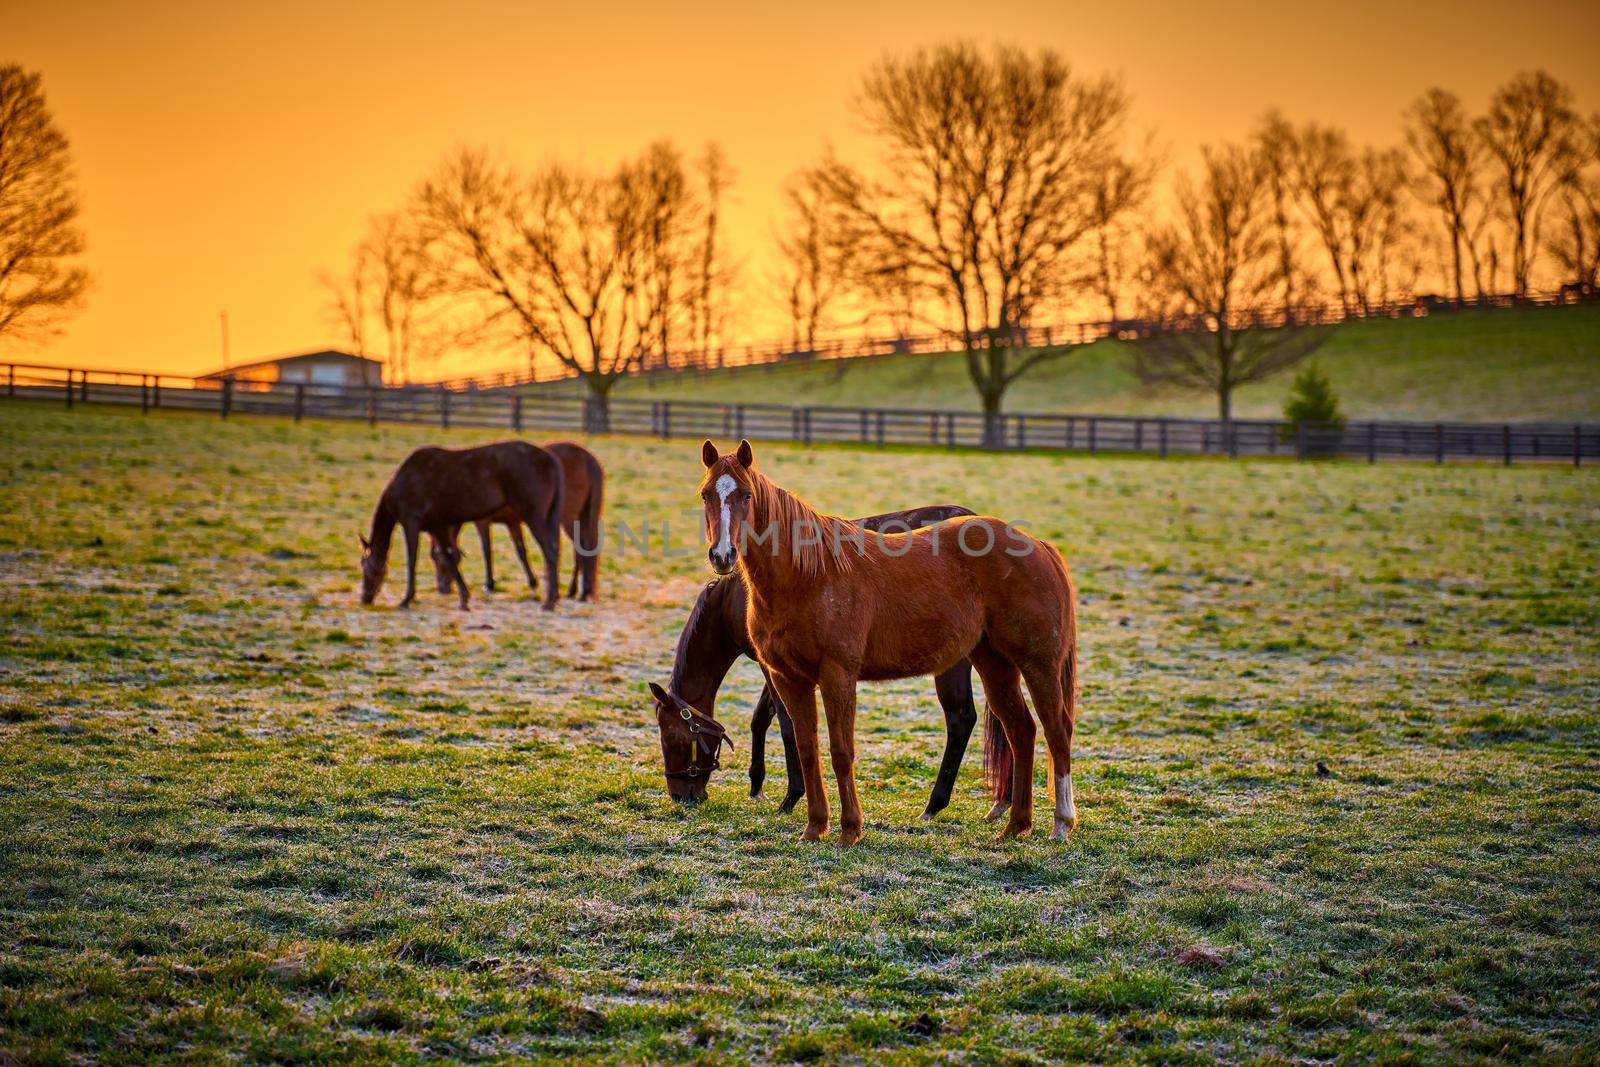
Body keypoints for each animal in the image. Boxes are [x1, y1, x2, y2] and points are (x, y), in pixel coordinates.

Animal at [360, 441, 566, 607]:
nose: (365, 598)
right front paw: (464, 596)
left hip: (533, 515)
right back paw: (553, 596)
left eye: (364, 566)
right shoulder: (438, 526)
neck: (402, 484)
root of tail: (550, 460)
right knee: (554, 549)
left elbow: (412, 561)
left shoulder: (411, 522)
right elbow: (450, 556)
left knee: (549, 550)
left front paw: (407, 598)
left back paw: (549, 601)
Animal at [432, 435, 604, 601]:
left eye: (436, 558)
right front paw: (533, 582)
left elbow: (487, 550)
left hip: (568, 519)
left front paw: (489, 584)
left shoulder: (482, 522)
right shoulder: (512, 523)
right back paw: (575, 591)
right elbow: (521, 550)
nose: (442, 589)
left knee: (582, 547)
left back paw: (581, 592)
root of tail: (586, 458)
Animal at [649, 505, 1011, 812]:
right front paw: (757, 785)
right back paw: (1003, 802)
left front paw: (792, 796)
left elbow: (786, 724)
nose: (680, 795)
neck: (734, 597)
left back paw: (936, 804)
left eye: (671, 737)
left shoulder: (773, 666)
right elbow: (761, 719)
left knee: (961, 719)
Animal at [697, 438, 1081, 844]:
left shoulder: (837, 675)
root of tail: (1038, 546)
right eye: (706, 494)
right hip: (995, 664)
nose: (722, 555)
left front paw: (850, 830)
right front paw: (815, 827)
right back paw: (1016, 825)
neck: (808, 574)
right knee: (1022, 731)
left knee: (1057, 731)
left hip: (1038, 664)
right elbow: (806, 749)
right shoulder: (789, 679)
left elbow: (841, 751)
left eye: (747, 494)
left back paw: (1061, 824)